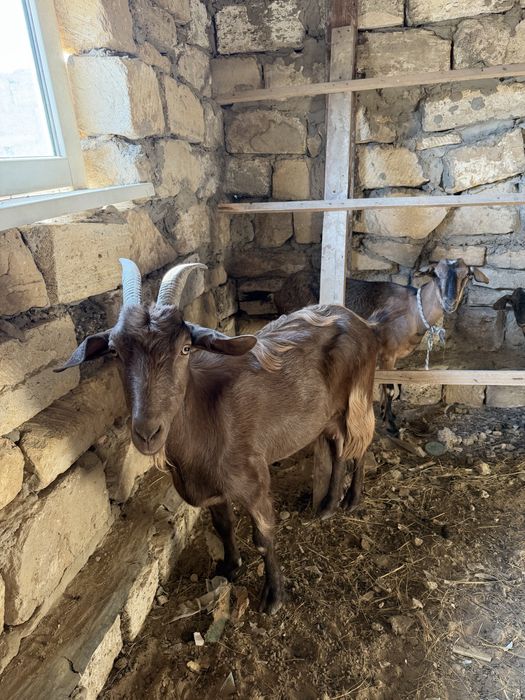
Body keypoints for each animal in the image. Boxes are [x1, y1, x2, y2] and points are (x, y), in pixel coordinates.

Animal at [57, 260, 379, 614]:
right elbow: (223, 525)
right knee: (338, 448)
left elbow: (264, 538)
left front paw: (273, 596)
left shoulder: (254, 481)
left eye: (185, 348)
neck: (206, 419)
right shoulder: (211, 489)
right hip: (327, 416)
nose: (147, 433)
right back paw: (328, 505)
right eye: (114, 351)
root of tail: (360, 322)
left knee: (362, 441)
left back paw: (352, 499)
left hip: (358, 398)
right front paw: (229, 567)